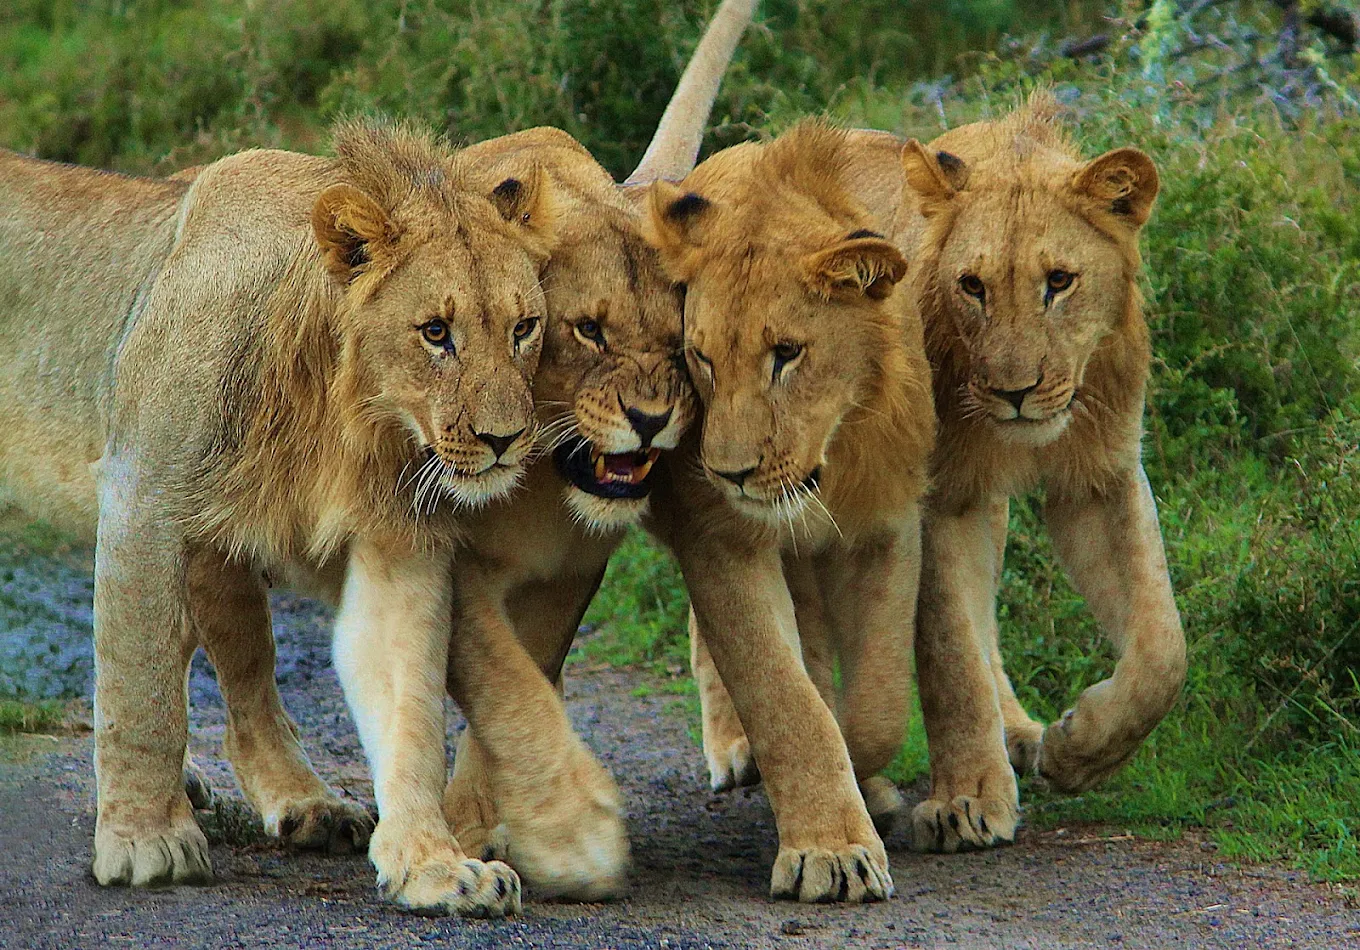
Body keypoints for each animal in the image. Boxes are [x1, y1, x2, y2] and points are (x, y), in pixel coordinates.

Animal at [0, 117, 559, 916]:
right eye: (435, 332)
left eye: (524, 327)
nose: (505, 440)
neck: (341, 401)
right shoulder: (142, 491)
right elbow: (141, 692)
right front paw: (144, 841)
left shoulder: (400, 538)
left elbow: (410, 706)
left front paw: (435, 866)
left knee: (246, 675)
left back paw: (302, 805)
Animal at [637, 120, 937, 902]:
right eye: (701, 358)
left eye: (788, 353)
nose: (728, 472)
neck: (832, 451)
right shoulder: (720, 536)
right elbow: (785, 698)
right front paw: (830, 852)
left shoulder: (890, 523)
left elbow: (878, 704)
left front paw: (865, 782)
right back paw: (737, 749)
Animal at [688, 96, 1187, 853]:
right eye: (972, 286)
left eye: (1059, 282)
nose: (1016, 391)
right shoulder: (935, 495)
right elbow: (952, 652)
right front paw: (969, 801)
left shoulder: (1099, 477)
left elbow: (1162, 650)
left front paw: (1077, 749)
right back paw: (740, 745)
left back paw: (1018, 731)